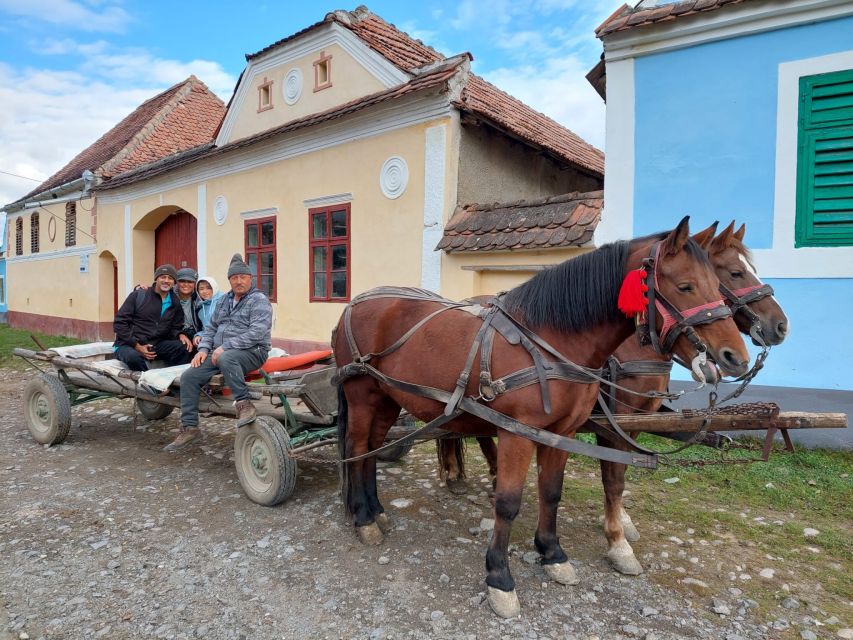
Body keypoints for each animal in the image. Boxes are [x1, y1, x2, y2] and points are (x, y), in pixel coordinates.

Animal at [332, 218, 744, 616]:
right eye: (685, 286)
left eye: (719, 285)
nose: (734, 357)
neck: (550, 341)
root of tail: (353, 307)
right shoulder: (519, 433)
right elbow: (508, 502)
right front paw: (499, 578)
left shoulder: (563, 432)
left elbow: (551, 491)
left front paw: (552, 553)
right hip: (363, 397)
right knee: (356, 448)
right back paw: (364, 519)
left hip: (387, 399)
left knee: (371, 451)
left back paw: (376, 511)